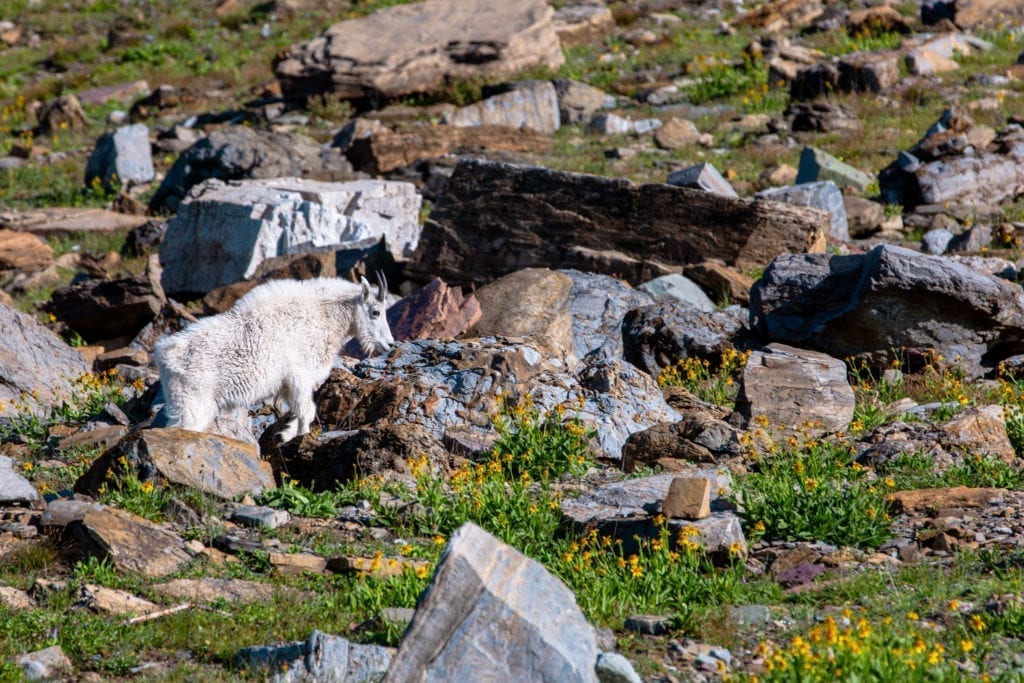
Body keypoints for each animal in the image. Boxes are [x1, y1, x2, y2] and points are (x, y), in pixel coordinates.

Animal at [153, 274, 393, 444]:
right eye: (375, 312)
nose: (389, 344)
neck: (322, 317)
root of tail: (164, 355)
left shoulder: (290, 385)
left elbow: (301, 411)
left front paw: (285, 434)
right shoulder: (299, 377)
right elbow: (307, 411)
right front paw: (300, 437)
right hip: (192, 403)